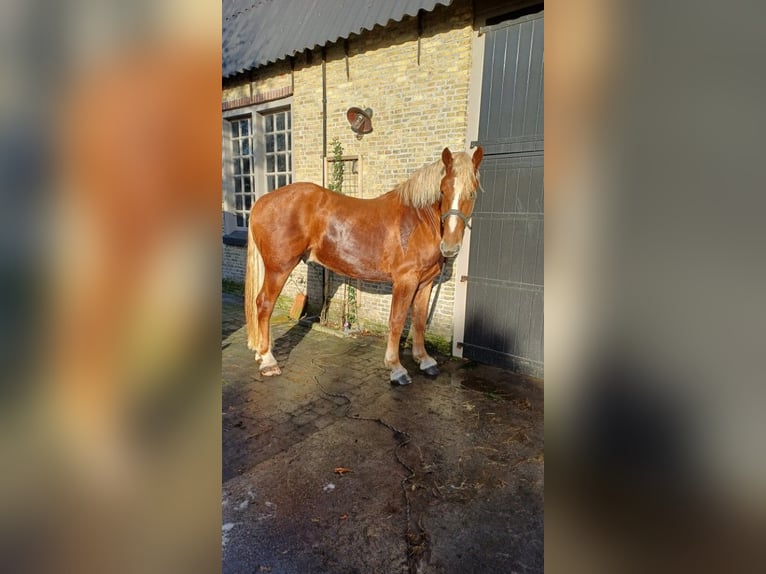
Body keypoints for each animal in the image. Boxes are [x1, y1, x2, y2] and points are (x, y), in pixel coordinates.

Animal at [248, 147, 486, 388]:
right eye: (443, 190)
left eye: (472, 193)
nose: (450, 246)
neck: (419, 220)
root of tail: (262, 201)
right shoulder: (405, 280)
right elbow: (397, 321)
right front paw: (396, 368)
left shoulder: (425, 282)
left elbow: (419, 321)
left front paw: (424, 360)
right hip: (279, 269)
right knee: (264, 304)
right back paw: (268, 361)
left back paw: (260, 354)